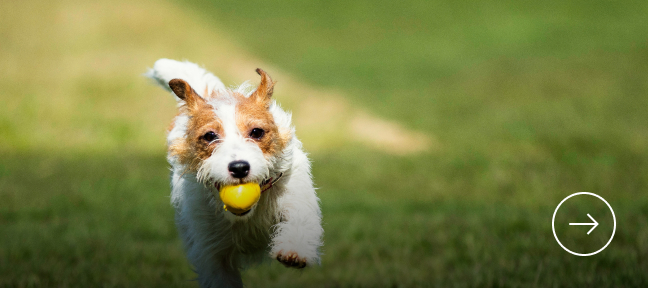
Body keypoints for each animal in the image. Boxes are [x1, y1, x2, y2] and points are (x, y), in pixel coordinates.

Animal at [147, 59, 324, 286]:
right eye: (210, 136)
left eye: (256, 132)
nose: (239, 167)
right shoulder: (211, 254)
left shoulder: (294, 192)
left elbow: (299, 220)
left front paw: (295, 250)